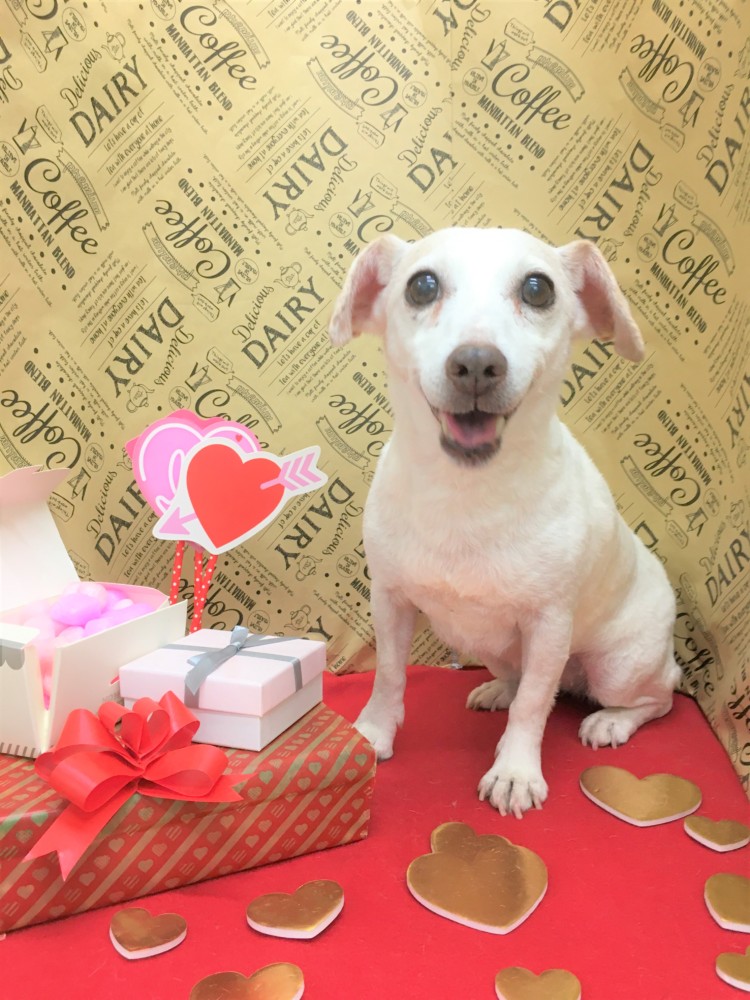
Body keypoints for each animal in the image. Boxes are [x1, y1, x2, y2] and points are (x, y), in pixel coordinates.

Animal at [328, 227, 680, 818]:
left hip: (618, 667)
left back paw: (610, 721)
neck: (465, 495)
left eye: (538, 289)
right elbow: (389, 675)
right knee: (523, 681)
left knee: (658, 696)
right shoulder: (390, 601)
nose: (476, 362)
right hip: (497, 651)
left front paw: (515, 771)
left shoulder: (549, 624)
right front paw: (374, 732)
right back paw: (498, 691)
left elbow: (535, 707)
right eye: (422, 285)